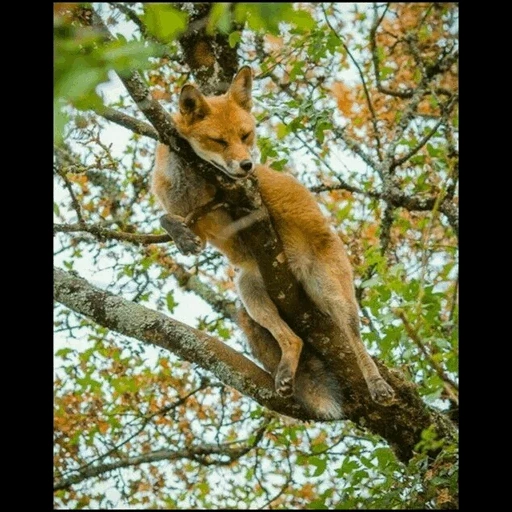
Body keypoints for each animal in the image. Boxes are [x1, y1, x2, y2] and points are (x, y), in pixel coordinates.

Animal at [150, 67, 394, 420]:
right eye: (219, 141)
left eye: (246, 136)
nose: (246, 165)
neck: (192, 184)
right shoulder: (200, 224)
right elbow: (165, 220)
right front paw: (181, 239)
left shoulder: (239, 197)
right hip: (250, 290)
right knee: (293, 341)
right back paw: (285, 373)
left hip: (335, 296)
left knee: (357, 343)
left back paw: (377, 384)